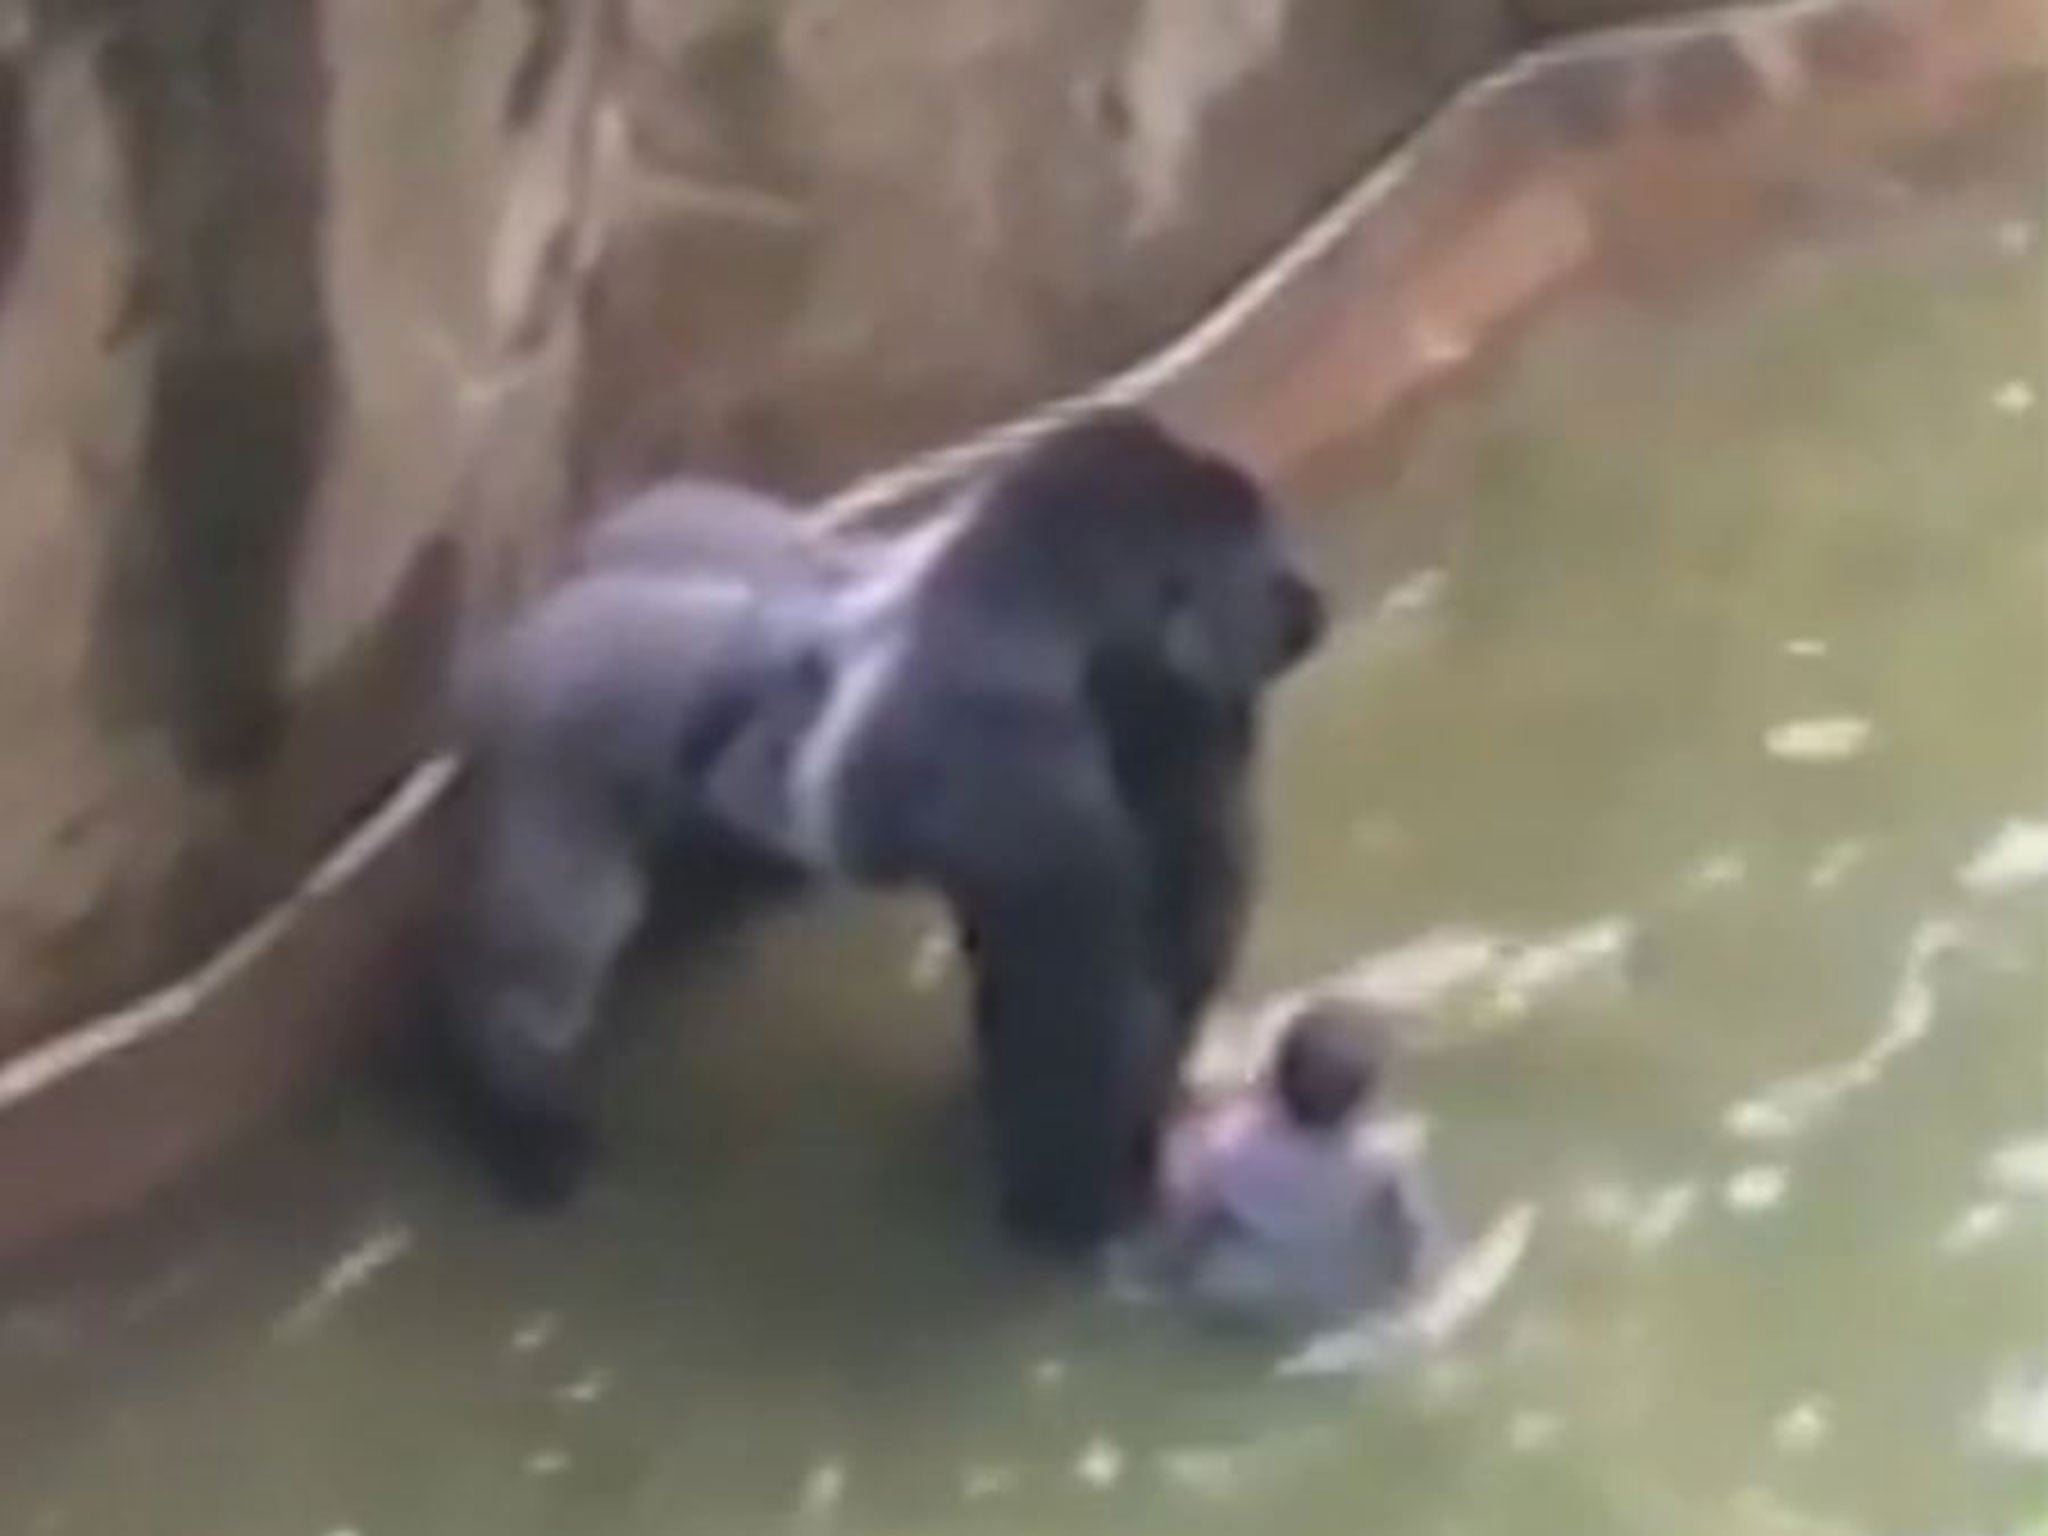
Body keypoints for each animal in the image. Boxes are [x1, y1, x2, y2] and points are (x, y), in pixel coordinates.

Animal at [436, 411, 1327, 1261]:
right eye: (1263, 566)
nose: (1308, 608)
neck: (1050, 603)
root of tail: (544, 600)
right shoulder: (1017, 758)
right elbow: (1073, 1011)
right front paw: (1075, 1211)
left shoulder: (1186, 711)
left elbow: (1175, 933)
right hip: (550, 725)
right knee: (556, 955)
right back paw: (519, 1114)